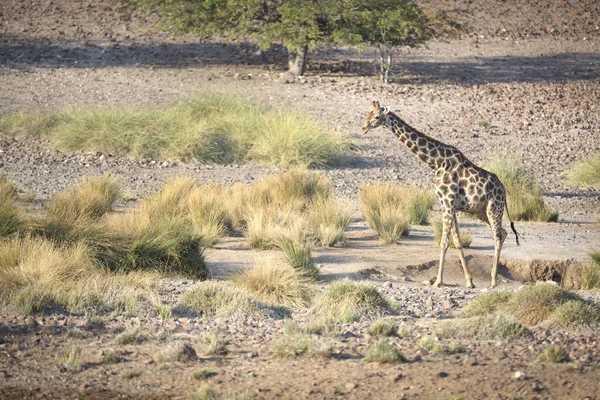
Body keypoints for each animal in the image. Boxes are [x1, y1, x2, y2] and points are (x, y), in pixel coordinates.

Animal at [360, 100, 520, 288]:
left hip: (493, 208)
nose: (363, 128)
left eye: (377, 117)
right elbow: (457, 242)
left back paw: (493, 282)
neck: (436, 162)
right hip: (481, 212)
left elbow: (444, 242)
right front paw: (469, 281)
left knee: (497, 235)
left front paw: (438, 281)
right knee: (504, 232)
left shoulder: (448, 204)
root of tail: (503, 190)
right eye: (368, 114)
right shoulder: (449, 205)